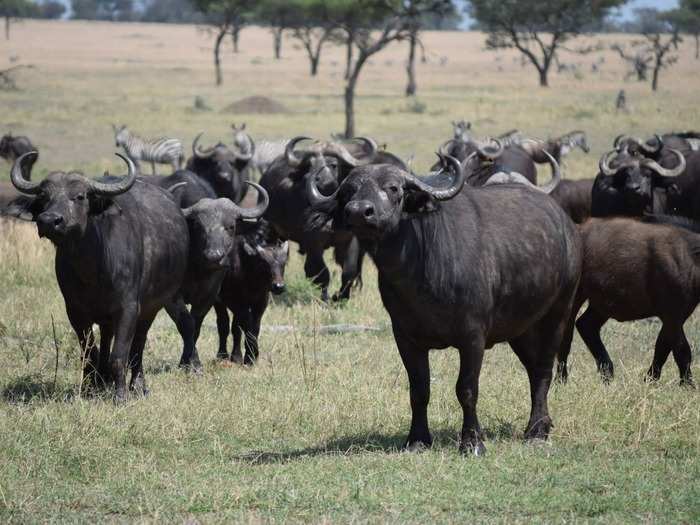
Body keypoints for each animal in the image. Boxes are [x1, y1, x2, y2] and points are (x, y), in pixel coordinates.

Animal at [6, 151, 187, 402]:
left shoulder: (129, 308)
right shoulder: (75, 310)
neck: (92, 270)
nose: (49, 220)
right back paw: (104, 381)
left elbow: (120, 354)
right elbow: (89, 351)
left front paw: (120, 395)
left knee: (138, 344)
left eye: (80, 196)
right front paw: (90, 387)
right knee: (107, 337)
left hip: (153, 306)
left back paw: (137, 385)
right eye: (43, 196)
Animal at [306, 152, 580, 454]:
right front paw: (417, 439)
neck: (420, 270)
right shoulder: (405, 337)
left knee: (543, 369)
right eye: (348, 191)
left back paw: (537, 429)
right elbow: (419, 389)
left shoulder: (473, 337)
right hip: (520, 328)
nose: (358, 211)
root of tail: (566, 225)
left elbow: (467, 389)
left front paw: (472, 442)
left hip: (558, 313)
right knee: (532, 369)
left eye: (393, 188)